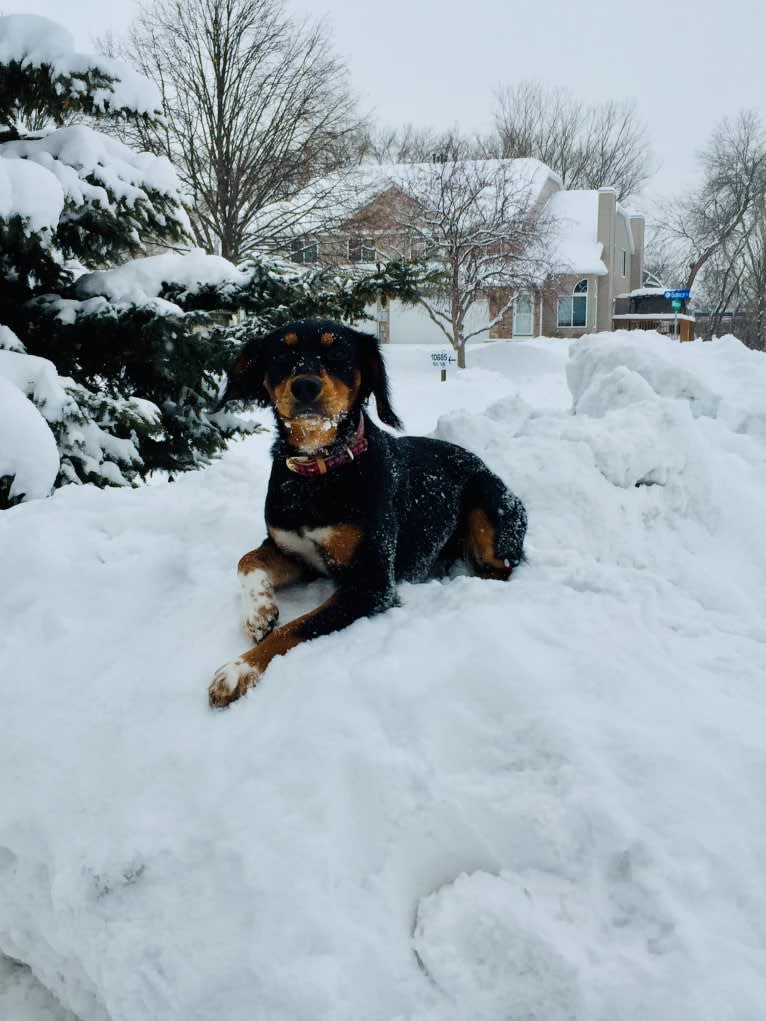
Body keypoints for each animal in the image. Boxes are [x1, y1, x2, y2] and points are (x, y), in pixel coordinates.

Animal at [210, 318, 527, 710]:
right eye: (282, 354)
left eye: (339, 353)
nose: (305, 386)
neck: (319, 474)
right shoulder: (294, 551)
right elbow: (247, 559)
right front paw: (259, 612)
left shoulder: (371, 584)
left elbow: (293, 628)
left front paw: (238, 669)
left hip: (487, 499)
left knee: (502, 567)